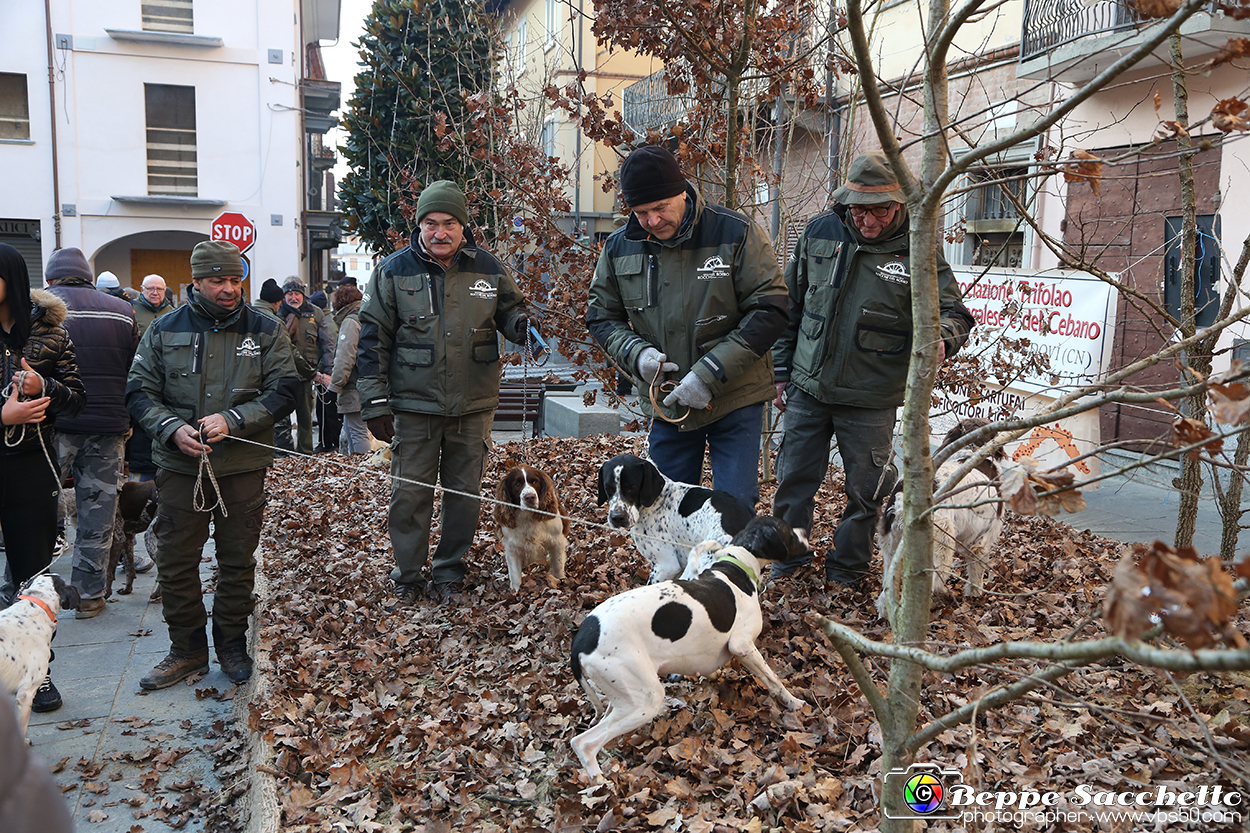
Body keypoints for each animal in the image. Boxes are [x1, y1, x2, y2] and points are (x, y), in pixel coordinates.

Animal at [492, 460, 572, 590]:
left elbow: (558, 565)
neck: (528, 517)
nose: (529, 497)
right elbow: (514, 575)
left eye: (535, 481)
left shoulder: (557, 540)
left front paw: (561, 580)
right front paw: (515, 591)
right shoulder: (512, 547)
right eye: (517, 484)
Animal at [570, 512, 805, 780]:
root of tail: (580, 640)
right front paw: (793, 702)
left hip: (623, 698)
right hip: (645, 701)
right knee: (584, 743)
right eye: (788, 530)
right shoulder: (742, 645)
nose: (804, 531)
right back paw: (599, 781)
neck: (737, 566)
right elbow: (773, 679)